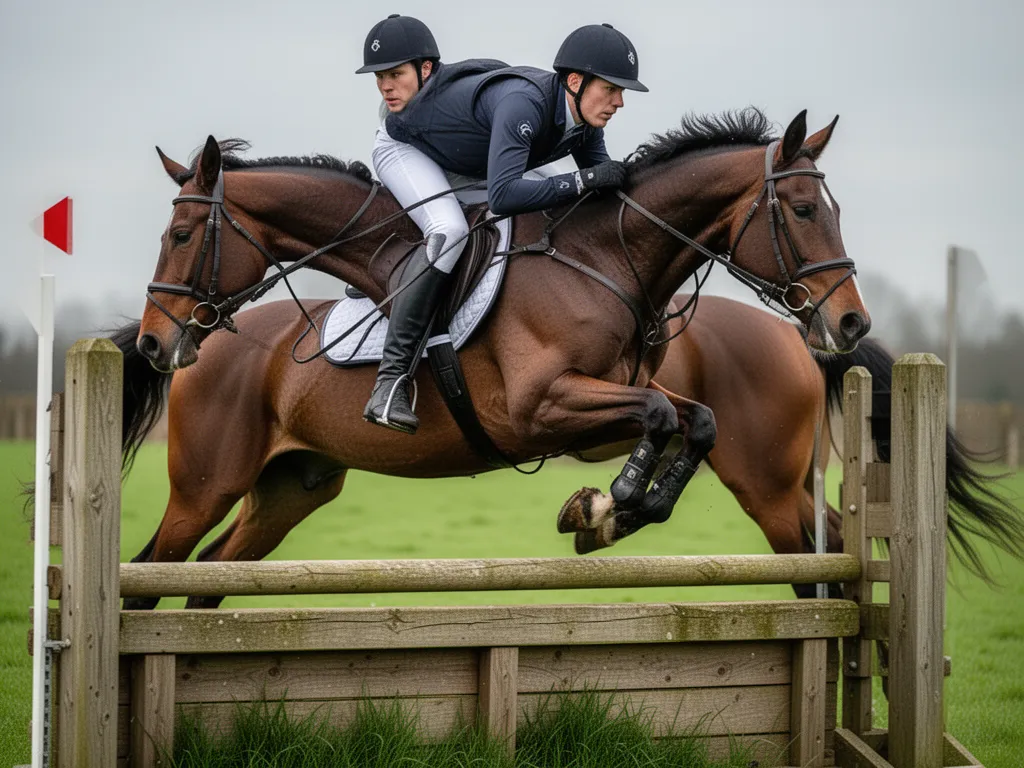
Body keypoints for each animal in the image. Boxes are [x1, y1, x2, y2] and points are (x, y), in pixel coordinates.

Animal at [121, 108, 875, 609]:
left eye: (180, 233)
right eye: (804, 210)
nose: (850, 320)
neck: (603, 258)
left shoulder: (602, 401)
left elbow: (691, 419)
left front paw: (612, 509)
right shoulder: (539, 406)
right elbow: (663, 414)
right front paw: (609, 508)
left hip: (291, 488)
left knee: (209, 578)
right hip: (206, 485)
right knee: (151, 573)